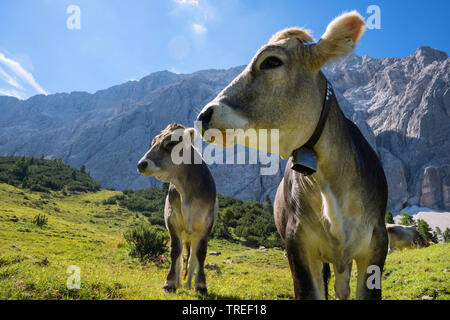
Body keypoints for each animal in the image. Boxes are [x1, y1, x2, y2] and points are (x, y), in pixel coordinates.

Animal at [137, 124, 218, 294]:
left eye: (171, 143)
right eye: (153, 142)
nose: (142, 164)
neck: (186, 194)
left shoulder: (206, 226)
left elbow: (201, 254)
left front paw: (201, 285)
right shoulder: (171, 220)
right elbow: (175, 252)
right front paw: (169, 283)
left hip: (194, 236)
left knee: (192, 260)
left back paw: (188, 285)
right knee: (182, 257)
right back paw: (180, 283)